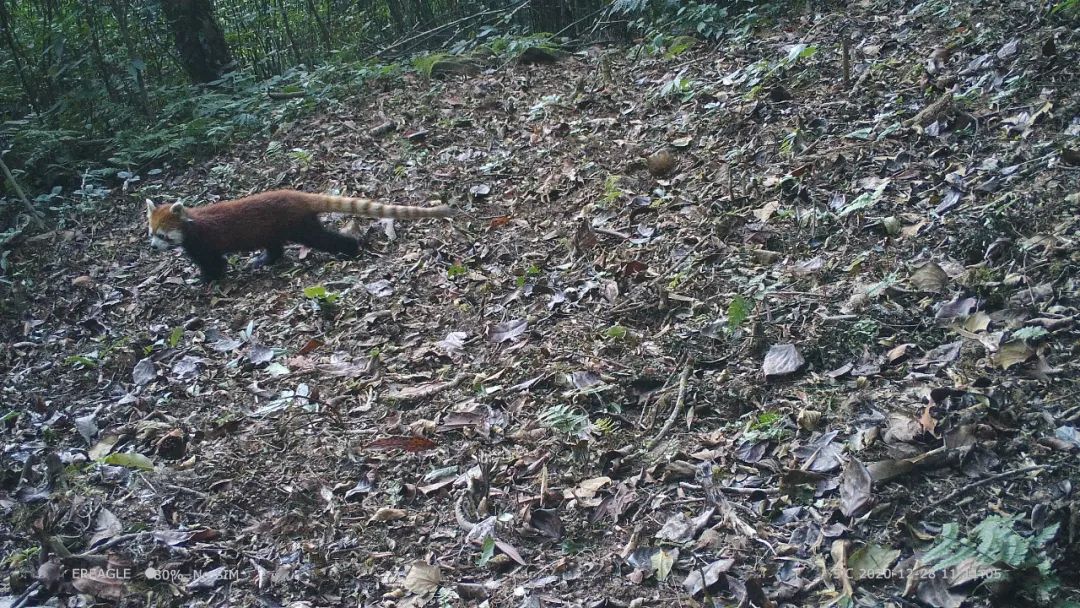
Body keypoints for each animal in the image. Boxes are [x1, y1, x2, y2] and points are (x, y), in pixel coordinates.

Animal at [144, 188, 455, 282]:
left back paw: (351, 248)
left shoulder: (204, 242)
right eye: (151, 233)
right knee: (274, 246)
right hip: (272, 227)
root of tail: (296, 195)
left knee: (322, 239)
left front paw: (206, 280)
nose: (153, 247)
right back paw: (265, 260)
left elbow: (214, 263)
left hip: (297, 224)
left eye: (162, 235)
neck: (190, 222)